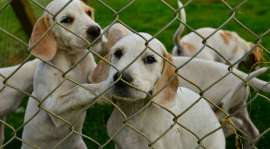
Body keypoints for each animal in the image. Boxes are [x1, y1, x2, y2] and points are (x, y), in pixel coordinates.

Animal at [20, 0, 108, 148]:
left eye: (89, 13)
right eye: (66, 20)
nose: (96, 30)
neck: (71, 57)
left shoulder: (92, 75)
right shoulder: (53, 105)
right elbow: (80, 90)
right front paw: (103, 89)